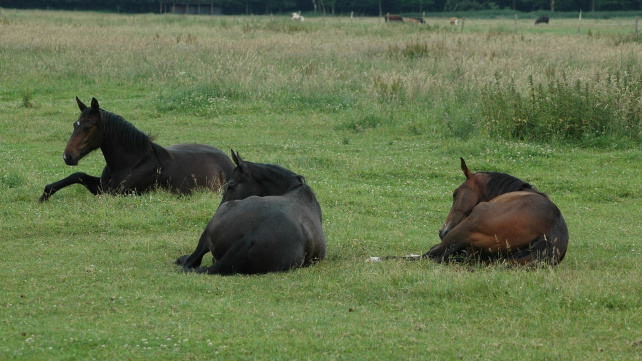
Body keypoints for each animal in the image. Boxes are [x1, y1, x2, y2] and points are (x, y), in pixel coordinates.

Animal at [38, 97, 232, 201]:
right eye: (75, 124)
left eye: (87, 127)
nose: (68, 157)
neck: (131, 162)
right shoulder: (102, 186)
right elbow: (78, 176)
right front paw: (44, 196)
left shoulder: (114, 194)